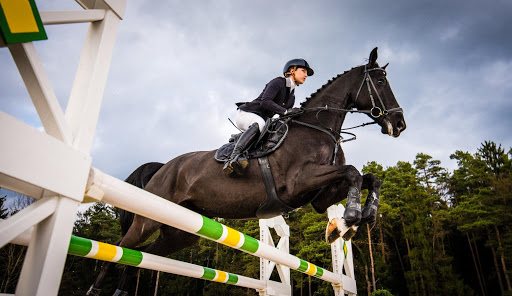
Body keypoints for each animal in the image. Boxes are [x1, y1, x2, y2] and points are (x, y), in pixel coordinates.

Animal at [89, 47, 408, 294]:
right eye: (380, 81)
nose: (400, 124)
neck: (318, 129)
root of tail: (163, 168)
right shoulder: (300, 182)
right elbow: (353, 172)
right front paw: (351, 219)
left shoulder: (320, 197)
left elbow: (369, 178)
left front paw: (351, 222)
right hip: (147, 219)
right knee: (119, 248)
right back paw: (96, 288)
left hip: (181, 232)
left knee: (140, 256)